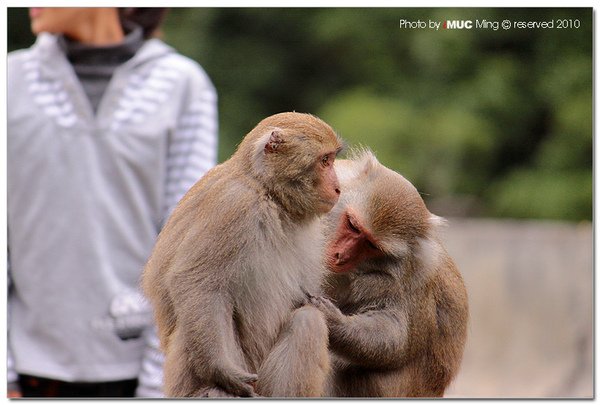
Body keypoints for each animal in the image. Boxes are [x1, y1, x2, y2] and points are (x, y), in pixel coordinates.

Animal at [141, 112, 344, 396]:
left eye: (332, 159)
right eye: (325, 161)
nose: (338, 188)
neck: (268, 193)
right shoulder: (234, 205)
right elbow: (194, 281)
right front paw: (220, 369)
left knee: (307, 321)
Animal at [310, 150, 468, 396]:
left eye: (371, 245)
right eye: (353, 225)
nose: (340, 255)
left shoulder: (410, 275)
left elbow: (396, 338)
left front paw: (333, 321)